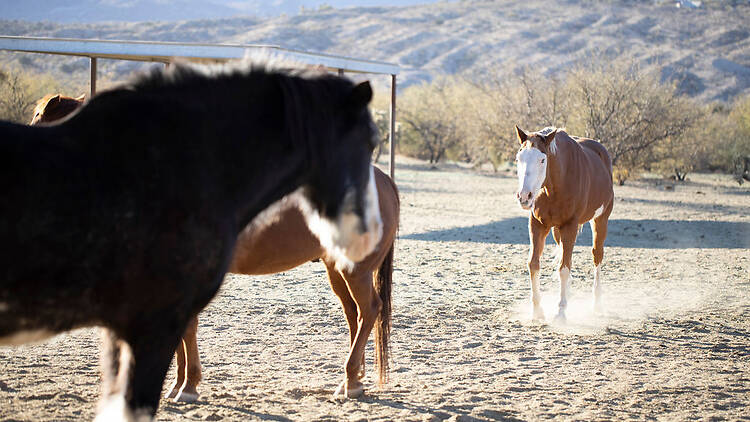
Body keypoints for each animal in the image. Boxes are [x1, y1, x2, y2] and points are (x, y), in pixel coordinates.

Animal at [166, 165, 398, 402]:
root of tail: (383, 178)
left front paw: (188, 386)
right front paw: (178, 384)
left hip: (356, 271)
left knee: (369, 310)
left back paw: (351, 381)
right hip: (337, 269)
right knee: (354, 315)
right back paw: (351, 381)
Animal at [514, 126, 614, 321]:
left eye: (542, 159)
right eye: (519, 158)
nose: (524, 196)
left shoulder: (570, 226)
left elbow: (564, 268)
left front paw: (560, 312)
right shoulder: (537, 225)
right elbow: (534, 264)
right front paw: (537, 311)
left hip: (601, 220)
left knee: (597, 255)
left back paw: (597, 303)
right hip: (556, 230)